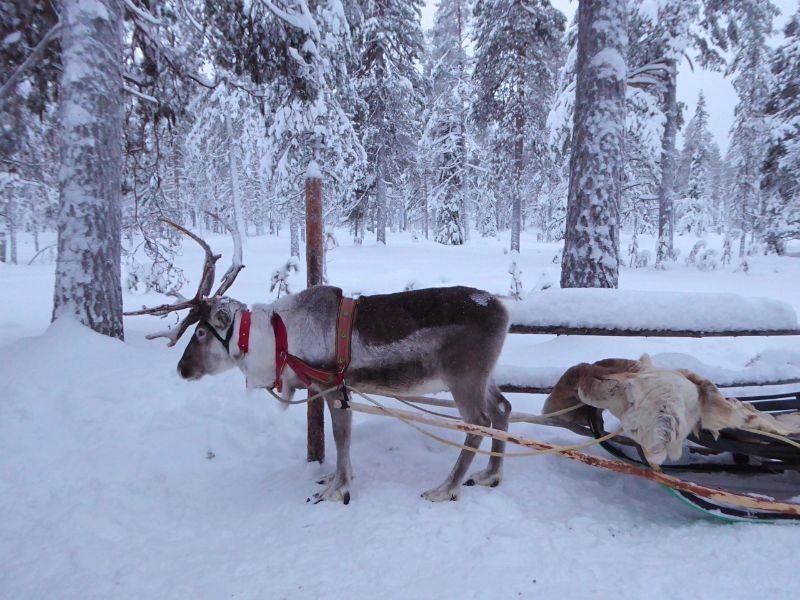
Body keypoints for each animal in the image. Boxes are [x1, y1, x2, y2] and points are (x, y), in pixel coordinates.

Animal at [127, 220, 513, 505]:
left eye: (202, 332)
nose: (182, 369)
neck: (278, 338)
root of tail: (503, 308)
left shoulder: (330, 385)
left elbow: (341, 438)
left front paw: (335, 490)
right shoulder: (338, 390)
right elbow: (343, 439)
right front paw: (339, 478)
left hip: (463, 378)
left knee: (478, 422)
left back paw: (445, 488)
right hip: (484, 376)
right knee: (502, 409)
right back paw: (490, 474)